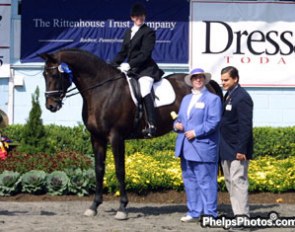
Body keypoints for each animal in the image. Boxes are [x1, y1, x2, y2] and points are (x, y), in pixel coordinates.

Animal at [40, 48, 224, 219]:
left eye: (55, 74)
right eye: (44, 75)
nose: (51, 106)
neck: (102, 90)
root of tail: (208, 84)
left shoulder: (116, 137)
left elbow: (120, 170)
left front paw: (122, 208)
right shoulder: (97, 138)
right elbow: (99, 170)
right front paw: (94, 206)